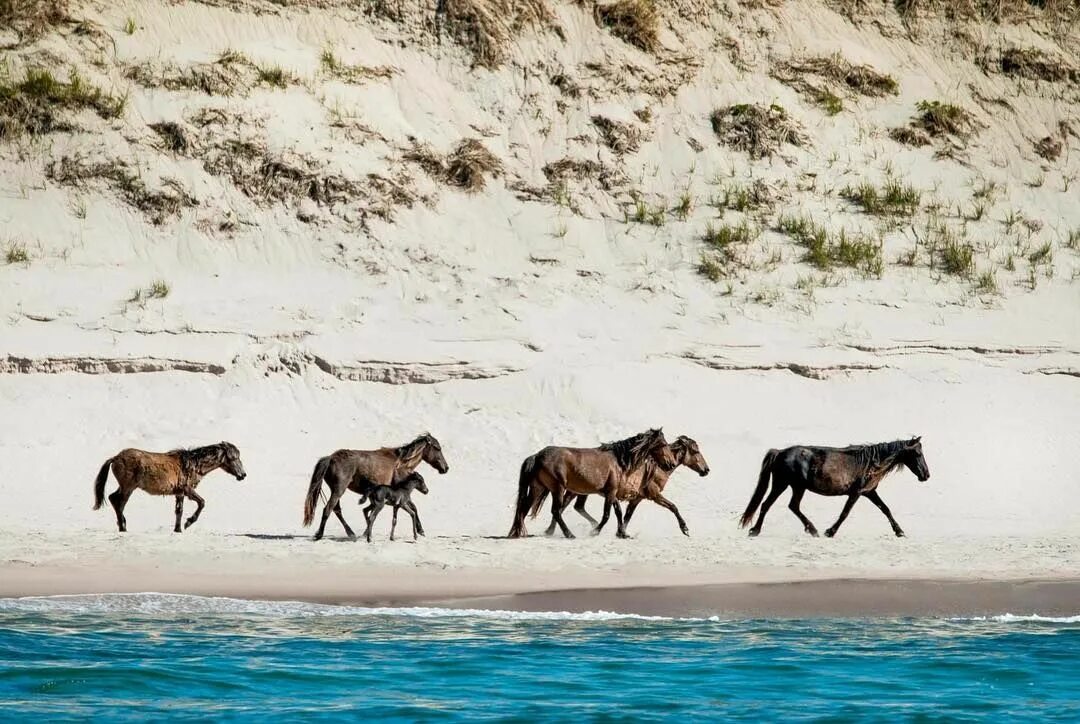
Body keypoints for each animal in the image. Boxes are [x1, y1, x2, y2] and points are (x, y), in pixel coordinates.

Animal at [90, 443, 247, 533]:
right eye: (234, 458)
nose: (243, 475)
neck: (192, 464)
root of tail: (116, 457)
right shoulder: (186, 489)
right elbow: (201, 503)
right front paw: (188, 523)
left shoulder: (179, 493)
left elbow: (179, 511)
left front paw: (178, 529)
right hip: (128, 487)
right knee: (118, 502)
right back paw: (122, 527)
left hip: (126, 487)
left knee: (114, 499)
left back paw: (122, 524)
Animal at [300, 434, 447, 542]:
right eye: (437, 448)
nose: (446, 468)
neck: (401, 463)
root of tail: (330, 458)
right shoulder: (400, 493)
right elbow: (414, 508)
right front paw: (420, 530)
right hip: (338, 490)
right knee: (328, 509)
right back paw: (320, 534)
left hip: (335, 491)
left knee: (336, 510)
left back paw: (351, 533)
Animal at [507, 427, 673, 542]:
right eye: (664, 444)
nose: (670, 464)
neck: (618, 460)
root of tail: (537, 456)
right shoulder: (610, 492)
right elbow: (606, 515)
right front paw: (595, 531)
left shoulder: (611, 493)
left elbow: (618, 512)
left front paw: (622, 533)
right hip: (557, 489)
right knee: (555, 511)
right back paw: (569, 534)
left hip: (538, 488)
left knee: (524, 508)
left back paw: (517, 533)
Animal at [529, 436, 708, 538]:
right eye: (695, 451)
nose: (706, 470)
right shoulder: (653, 495)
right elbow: (673, 507)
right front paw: (685, 529)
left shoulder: (635, 498)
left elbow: (626, 515)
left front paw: (622, 532)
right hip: (571, 491)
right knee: (563, 508)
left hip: (576, 491)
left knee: (570, 508)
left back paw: (551, 531)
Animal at [743, 436, 928, 538]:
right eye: (917, 453)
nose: (926, 475)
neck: (871, 462)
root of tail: (780, 452)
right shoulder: (856, 493)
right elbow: (845, 513)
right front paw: (830, 532)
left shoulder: (869, 492)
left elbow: (886, 509)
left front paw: (900, 532)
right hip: (783, 484)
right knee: (768, 504)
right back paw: (755, 531)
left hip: (796, 487)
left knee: (791, 506)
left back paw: (812, 530)